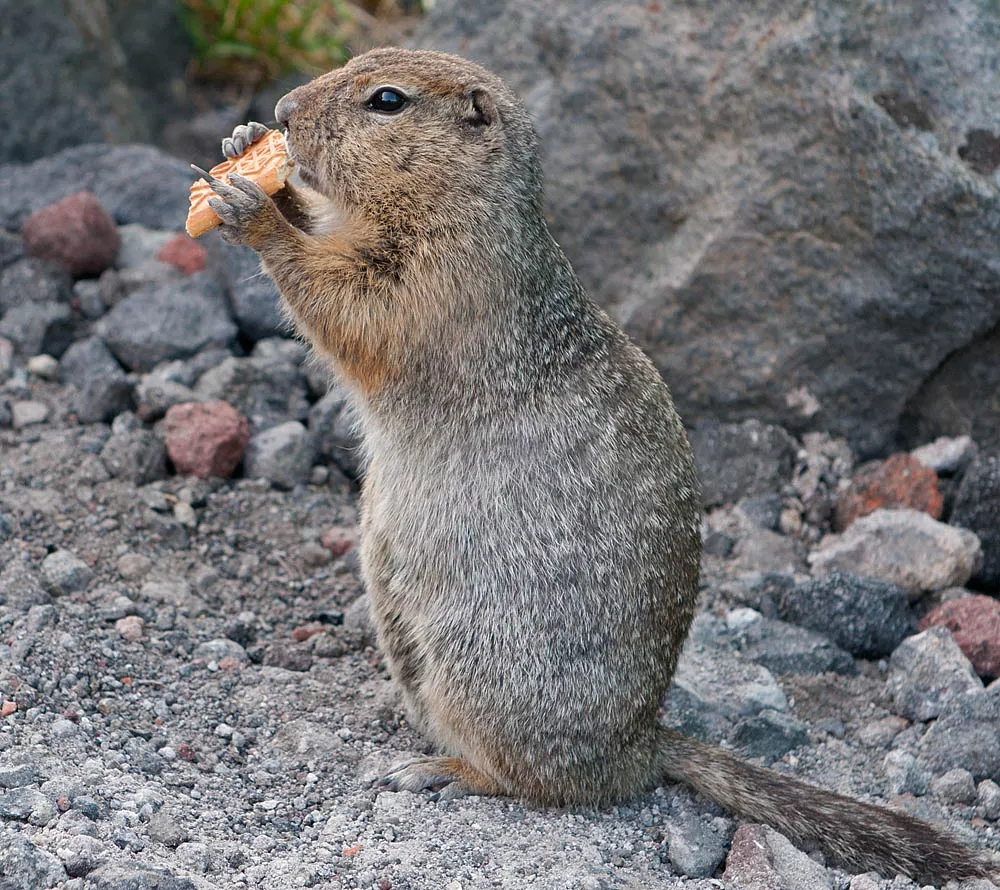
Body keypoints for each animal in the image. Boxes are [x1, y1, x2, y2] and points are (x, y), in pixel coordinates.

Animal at [201, 46, 992, 880]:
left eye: (387, 100)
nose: (282, 111)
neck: (467, 204)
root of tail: (640, 748)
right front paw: (245, 147)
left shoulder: (437, 276)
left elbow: (351, 304)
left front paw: (255, 211)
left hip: (483, 672)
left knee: (535, 782)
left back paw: (441, 771)